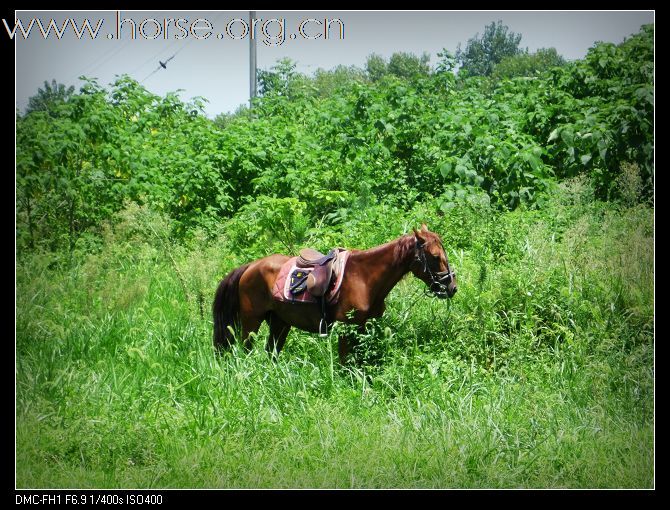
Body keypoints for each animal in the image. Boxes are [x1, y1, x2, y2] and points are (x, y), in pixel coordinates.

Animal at [213, 223, 460, 362]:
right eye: (435, 256)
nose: (451, 287)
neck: (365, 278)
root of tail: (250, 267)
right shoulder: (346, 329)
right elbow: (345, 362)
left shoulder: (363, 328)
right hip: (251, 322)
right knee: (245, 351)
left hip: (280, 323)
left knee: (271, 353)